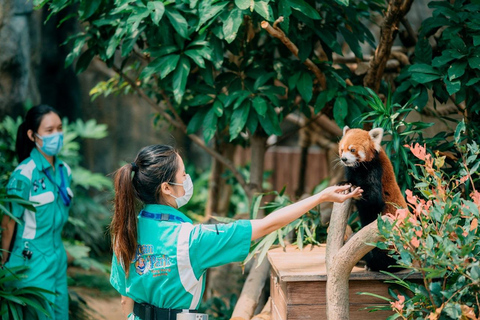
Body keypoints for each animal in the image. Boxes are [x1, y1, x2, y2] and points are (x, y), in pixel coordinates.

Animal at [338, 126, 408, 272]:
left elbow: (374, 199)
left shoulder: (374, 170)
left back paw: (374, 265)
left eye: (352, 150)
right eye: (342, 149)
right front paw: (344, 183)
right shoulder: (351, 171)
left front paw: (356, 191)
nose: (344, 159)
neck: (359, 168)